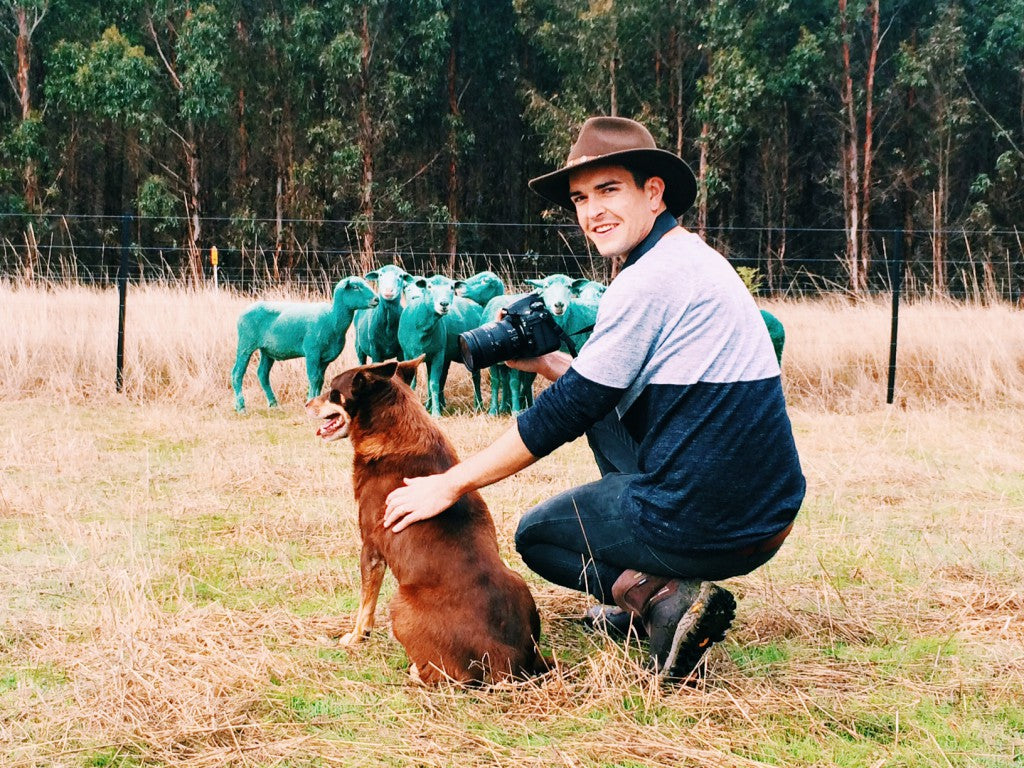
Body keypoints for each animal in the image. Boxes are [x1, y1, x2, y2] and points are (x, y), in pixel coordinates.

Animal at [307, 356, 548, 684]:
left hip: (399, 602)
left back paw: (415, 671)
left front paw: (356, 637)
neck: (392, 432)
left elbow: (365, 604)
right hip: (518, 581)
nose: (306, 403)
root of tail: (507, 662)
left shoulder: (370, 549)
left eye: (333, 392)